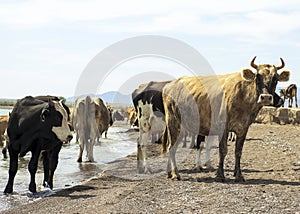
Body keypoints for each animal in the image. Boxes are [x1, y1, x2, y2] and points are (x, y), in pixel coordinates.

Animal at [161, 56, 290, 181]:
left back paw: (169, 172)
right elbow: (223, 150)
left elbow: (238, 151)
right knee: (171, 147)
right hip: (173, 121)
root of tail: (170, 84)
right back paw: (175, 174)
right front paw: (220, 175)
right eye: (257, 76)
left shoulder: (243, 128)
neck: (244, 97)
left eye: (275, 78)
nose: (266, 97)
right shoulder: (223, 127)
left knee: (171, 145)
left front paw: (239, 175)